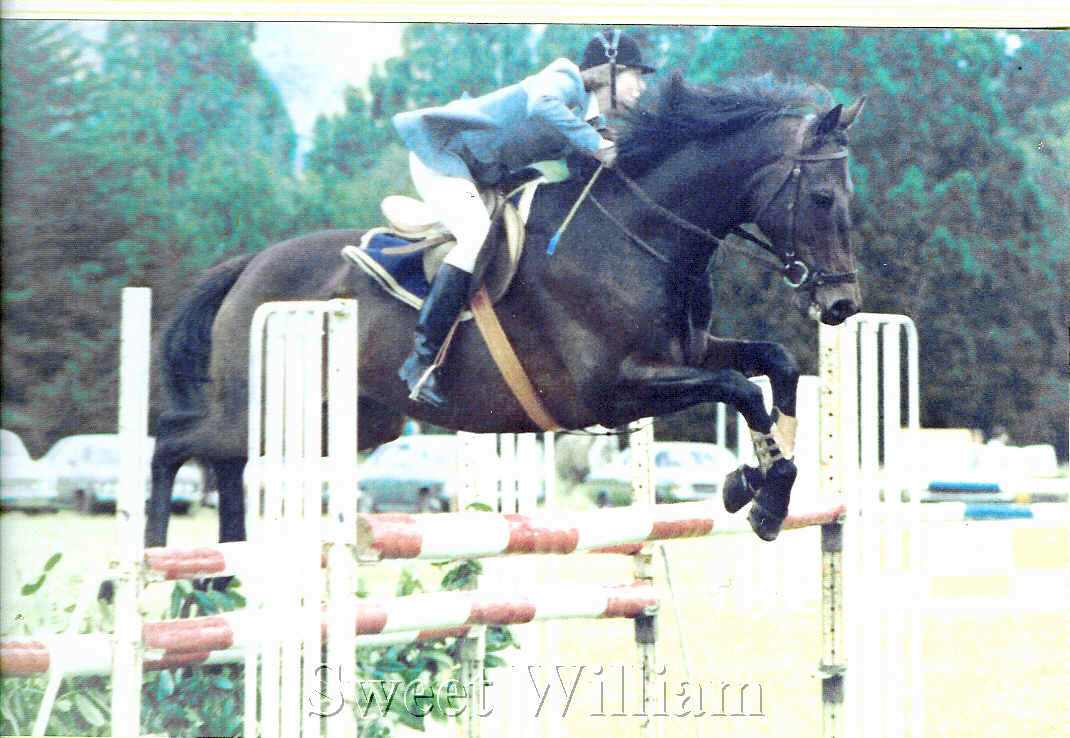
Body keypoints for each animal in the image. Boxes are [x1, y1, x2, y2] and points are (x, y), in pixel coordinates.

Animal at [147, 72, 864, 556]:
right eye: (823, 198)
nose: (842, 304)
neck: (641, 234)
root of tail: (249, 266)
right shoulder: (611, 389)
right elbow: (742, 388)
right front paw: (763, 495)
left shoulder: (690, 351)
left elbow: (774, 364)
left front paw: (756, 480)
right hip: (265, 405)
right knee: (175, 444)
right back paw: (154, 565)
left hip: (351, 421)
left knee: (225, 465)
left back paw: (221, 572)